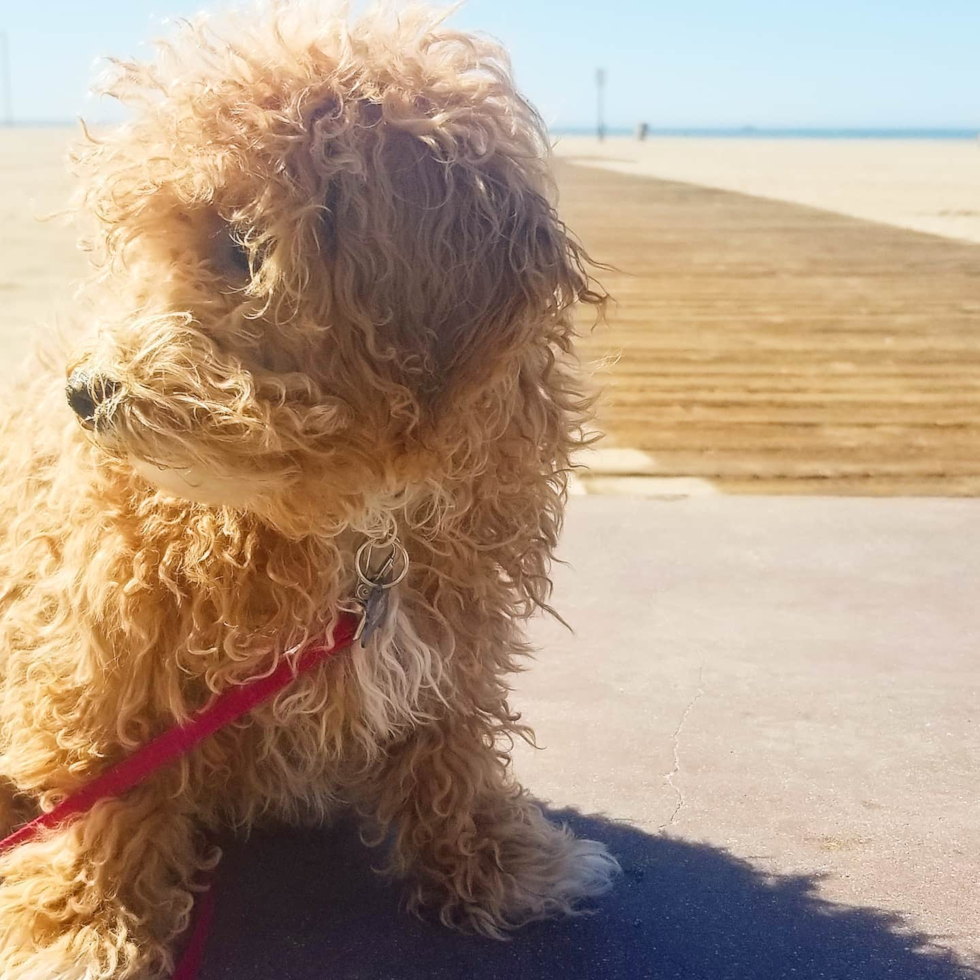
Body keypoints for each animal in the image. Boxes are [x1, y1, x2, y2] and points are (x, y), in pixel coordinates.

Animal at [0, 3, 616, 976]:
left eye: (240, 247)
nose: (84, 392)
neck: (360, 523)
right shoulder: (108, 656)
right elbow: (104, 799)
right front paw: (84, 934)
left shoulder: (453, 631)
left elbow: (449, 749)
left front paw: (496, 864)